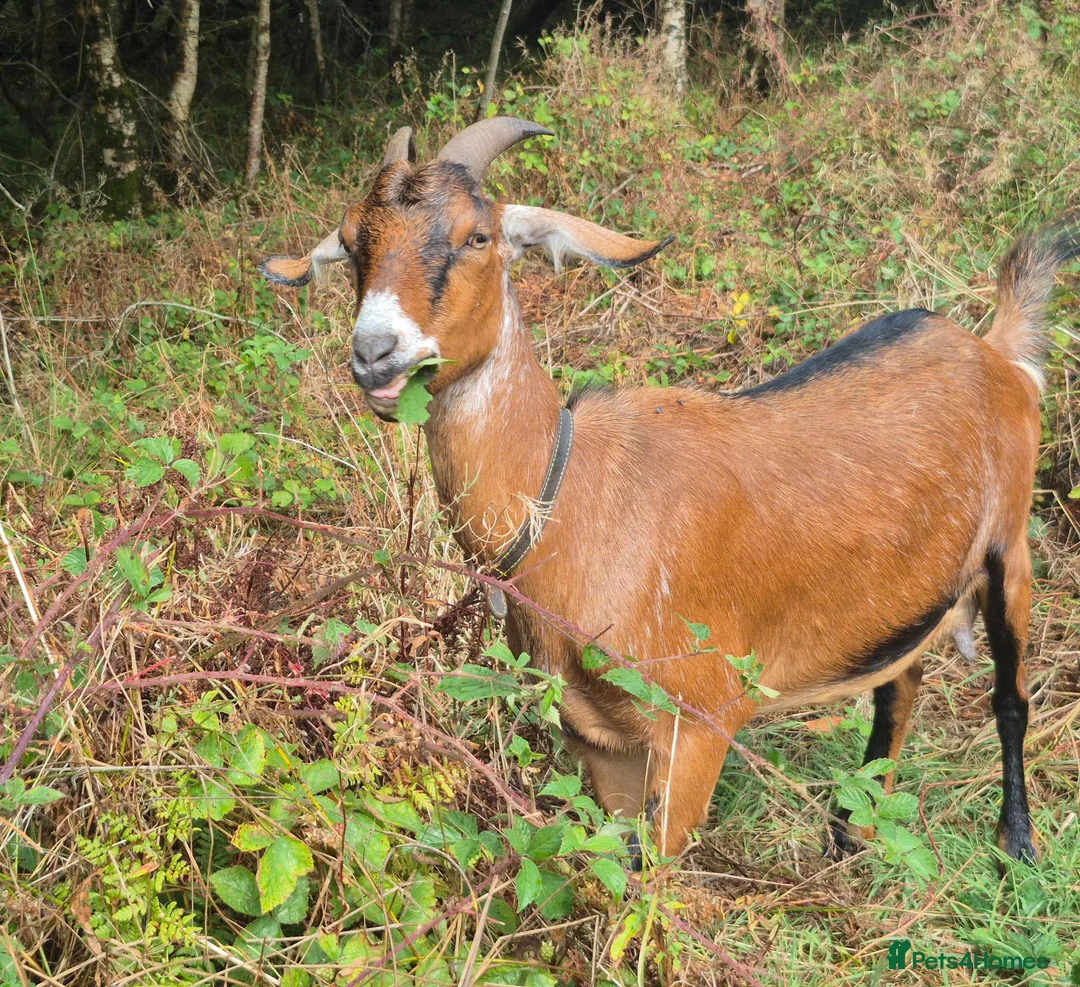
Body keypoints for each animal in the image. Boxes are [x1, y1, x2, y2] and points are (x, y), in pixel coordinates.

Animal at [260, 117, 1079, 863]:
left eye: (477, 237)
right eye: (352, 242)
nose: (375, 353)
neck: (568, 495)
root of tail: (996, 352)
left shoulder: (699, 722)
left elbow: (656, 882)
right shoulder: (596, 735)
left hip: (1010, 548)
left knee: (1010, 698)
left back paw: (1018, 844)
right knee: (898, 689)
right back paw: (852, 837)